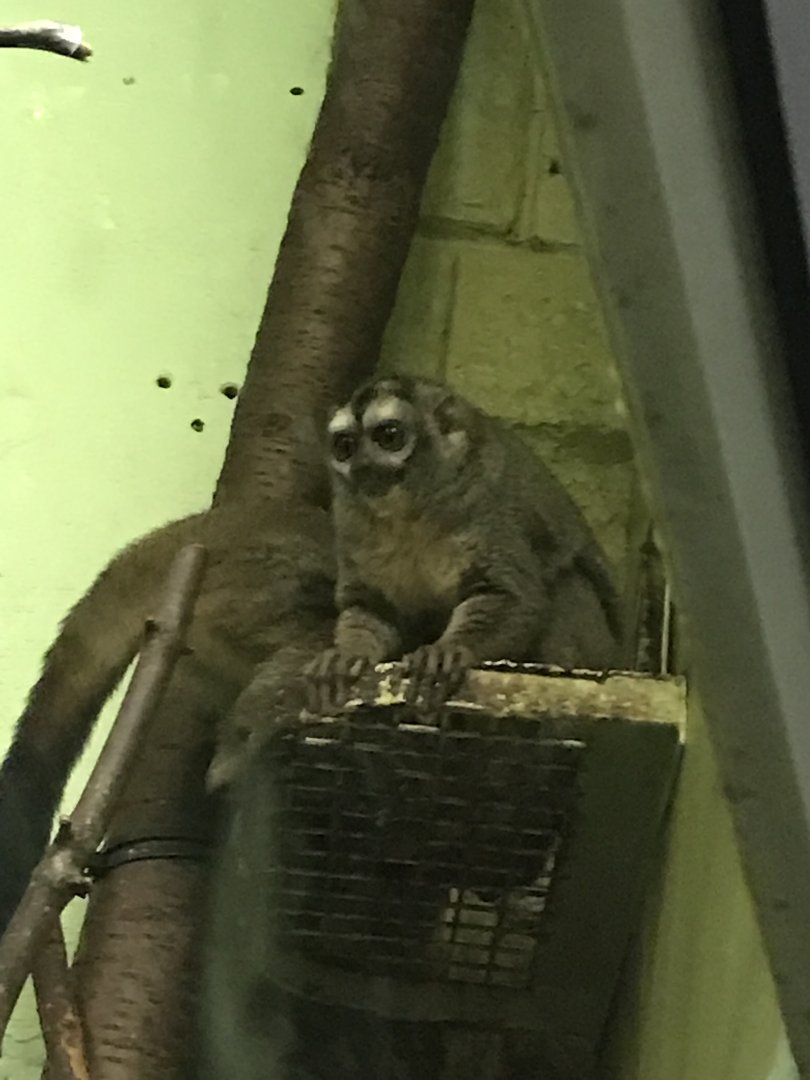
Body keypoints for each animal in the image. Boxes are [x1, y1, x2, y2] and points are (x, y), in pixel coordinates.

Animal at [305, 374, 623, 715]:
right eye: (345, 447)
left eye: (389, 436)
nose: (362, 467)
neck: (410, 516)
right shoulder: (348, 522)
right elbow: (369, 605)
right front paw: (344, 658)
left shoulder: (485, 503)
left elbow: (507, 594)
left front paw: (447, 652)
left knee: (569, 584)